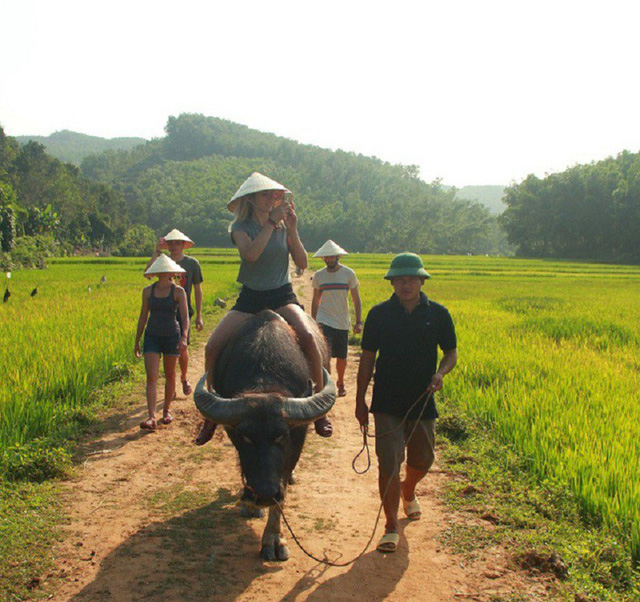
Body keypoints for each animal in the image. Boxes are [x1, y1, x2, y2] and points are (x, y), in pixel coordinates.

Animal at [194, 310, 336, 556]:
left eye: (281, 436)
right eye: (245, 437)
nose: (266, 493)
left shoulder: (297, 439)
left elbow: (283, 487)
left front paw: (274, 539)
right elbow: (244, 466)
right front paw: (250, 503)